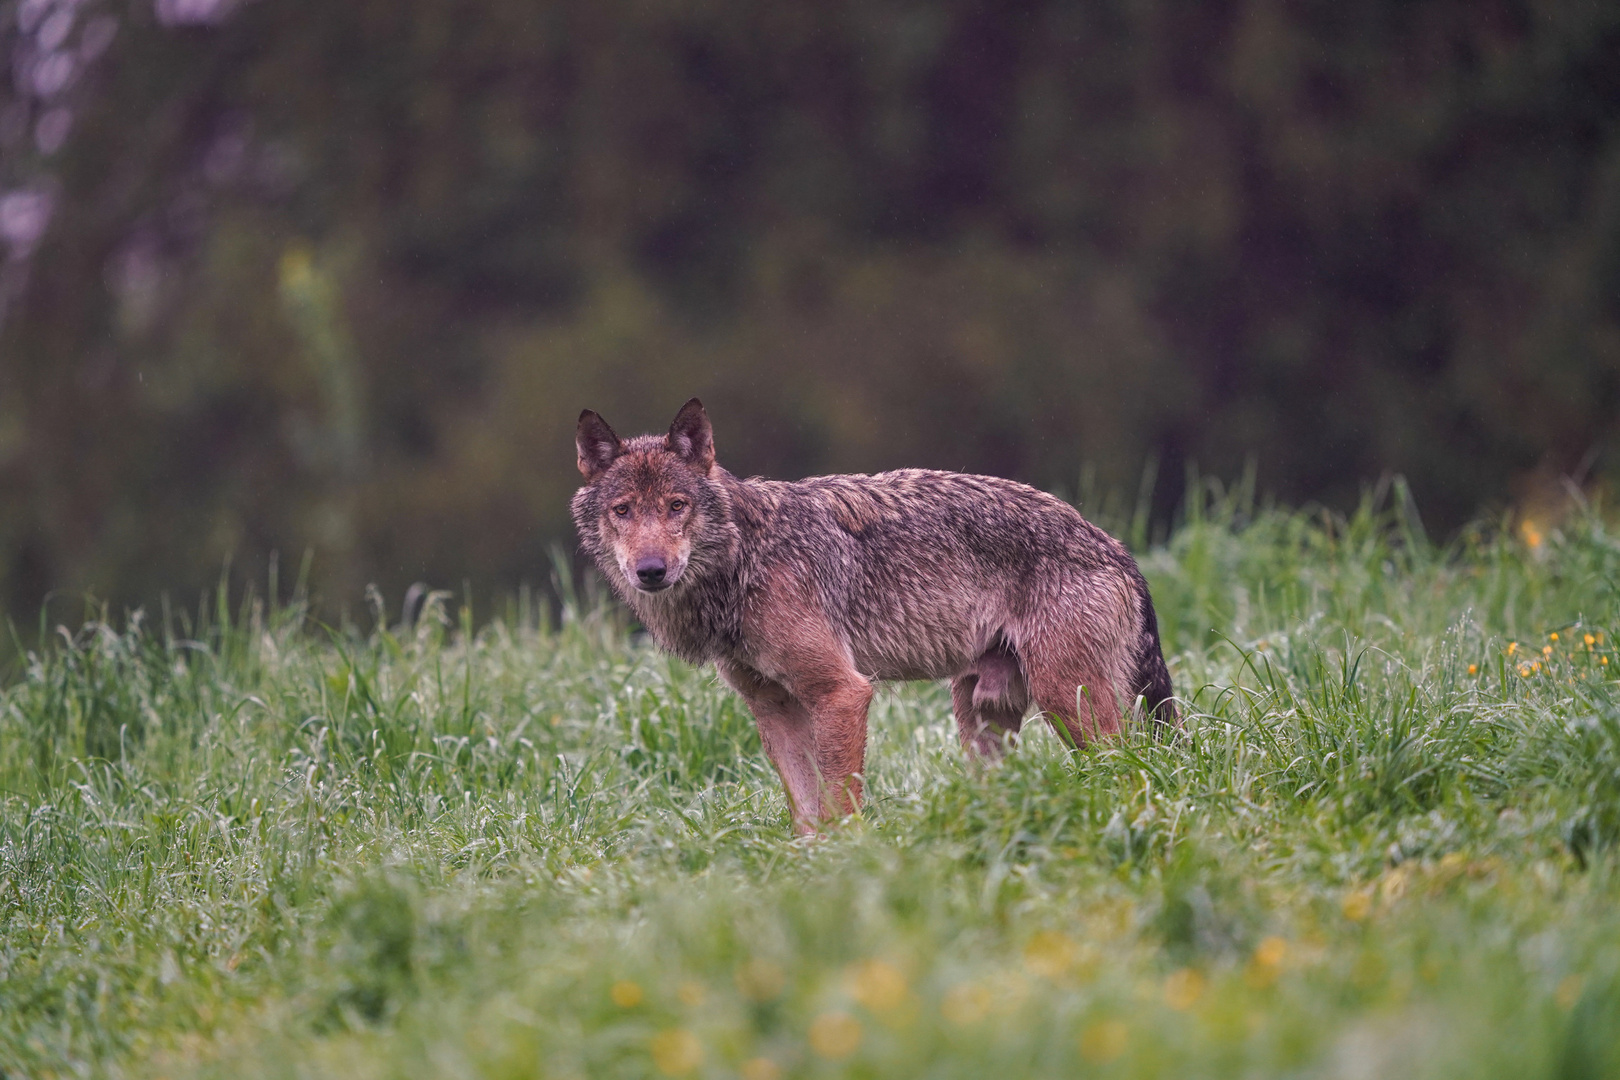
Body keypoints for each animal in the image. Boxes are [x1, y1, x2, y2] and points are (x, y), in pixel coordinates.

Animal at [573, 401, 1179, 835]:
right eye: (623, 511)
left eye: (677, 506)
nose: (651, 570)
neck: (743, 558)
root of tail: (1118, 549)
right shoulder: (773, 708)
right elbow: (805, 813)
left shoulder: (841, 692)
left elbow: (839, 805)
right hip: (980, 713)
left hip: (1065, 699)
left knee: (1130, 763)